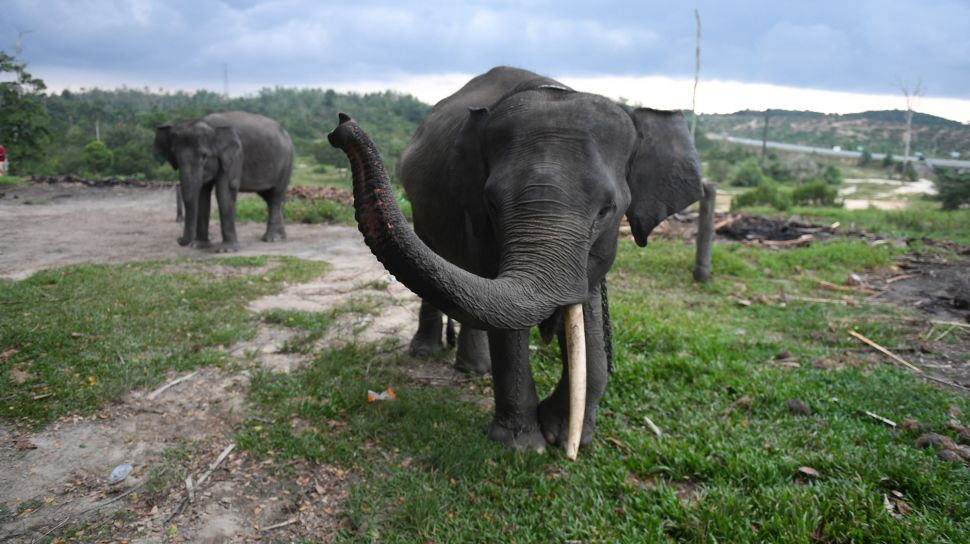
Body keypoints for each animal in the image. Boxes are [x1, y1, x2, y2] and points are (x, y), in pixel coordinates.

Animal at [152, 113, 292, 254]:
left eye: (204, 156)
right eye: (175, 157)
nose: (179, 239)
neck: (210, 124)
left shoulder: (235, 157)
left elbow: (224, 192)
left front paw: (227, 250)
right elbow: (203, 194)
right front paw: (198, 246)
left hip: (286, 164)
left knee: (275, 196)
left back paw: (271, 239)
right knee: (269, 197)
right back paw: (281, 236)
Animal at [328, 68, 700, 460]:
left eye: (606, 210)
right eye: (491, 202)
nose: (341, 125)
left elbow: (588, 312)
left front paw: (567, 437)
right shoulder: (475, 211)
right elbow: (506, 317)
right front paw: (524, 447)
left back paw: (475, 371)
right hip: (419, 209)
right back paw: (428, 354)